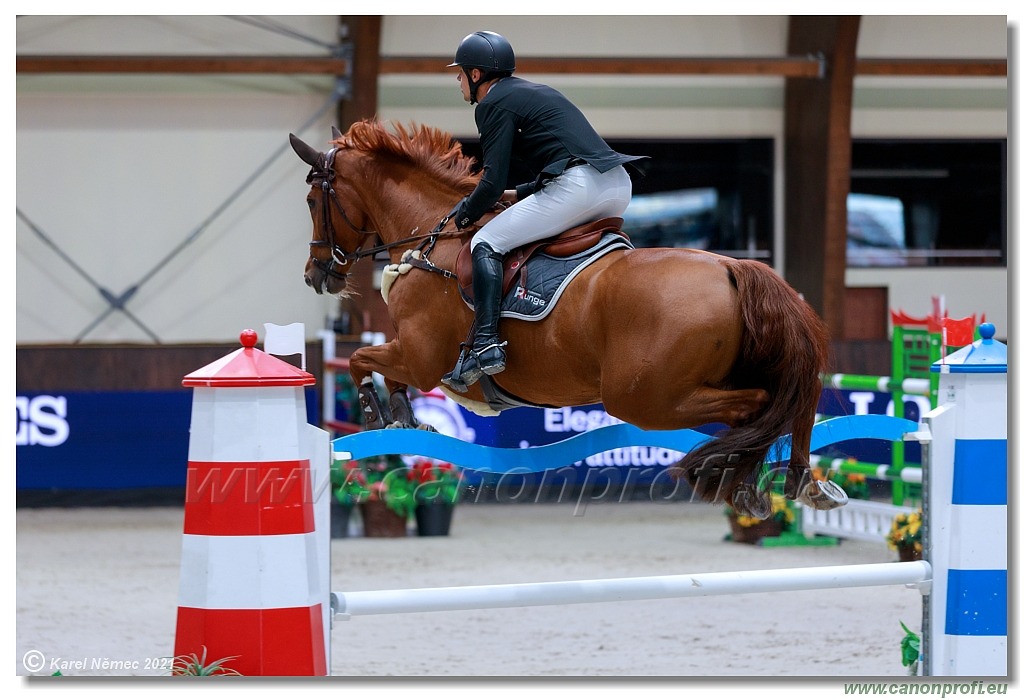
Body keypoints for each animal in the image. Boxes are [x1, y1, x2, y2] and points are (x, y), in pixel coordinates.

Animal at [290, 120, 847, 515]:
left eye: (314, 199)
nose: (316, 274)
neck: (431, 240)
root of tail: (734, 266)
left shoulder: (422, 357)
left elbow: (362, 360)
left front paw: (376, 412)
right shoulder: (412, 355)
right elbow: (376, 365)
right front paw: (404, 417)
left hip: (646, 398)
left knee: (758, 406)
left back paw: (731, 477)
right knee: (795, 399)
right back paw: (800, 483)